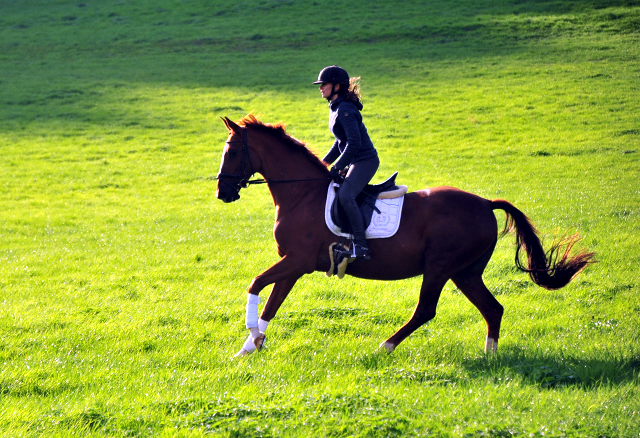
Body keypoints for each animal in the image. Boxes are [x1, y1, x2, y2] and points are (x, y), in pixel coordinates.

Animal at [216, 114, 596, 356]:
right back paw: (491, 356)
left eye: (231, 151)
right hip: (466, 272)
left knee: (426, 309)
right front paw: (249, 347)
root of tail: (485, 204)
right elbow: (272, 301)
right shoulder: (293, 264)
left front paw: (252, 336)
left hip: (441, 267)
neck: (302, 193)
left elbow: (256, 285)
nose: (223, 193)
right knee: (493, 308)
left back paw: (383, 348)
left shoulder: (297, 261)